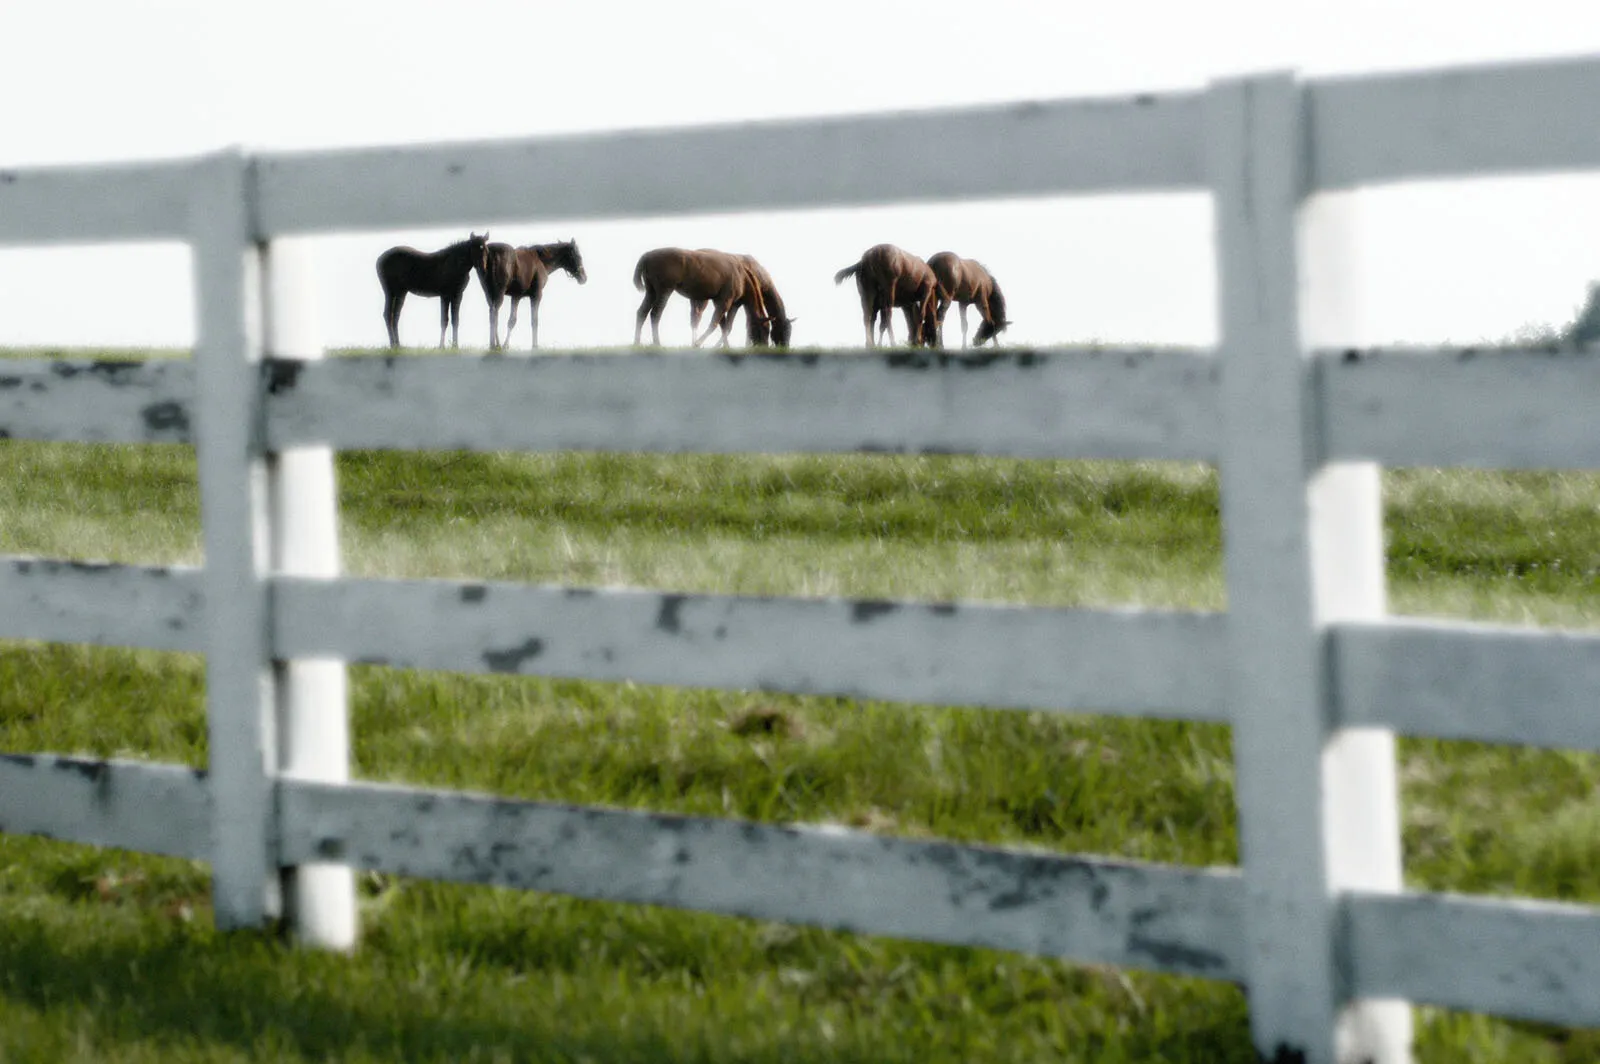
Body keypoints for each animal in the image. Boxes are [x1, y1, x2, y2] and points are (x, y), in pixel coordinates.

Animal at [633, 247, 771, 348]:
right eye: (765, 329)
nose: (764, 347)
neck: (741, 276)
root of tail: (647, 256)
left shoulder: (726, 304)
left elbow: (724, 326)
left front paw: (724, 347)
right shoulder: (725, 302)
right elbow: (715, 324)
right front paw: (698, 343)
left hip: (651, 292)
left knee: (642, 312)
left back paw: (637, 342)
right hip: (664, 291)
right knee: (655, 313)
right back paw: (657, 343)